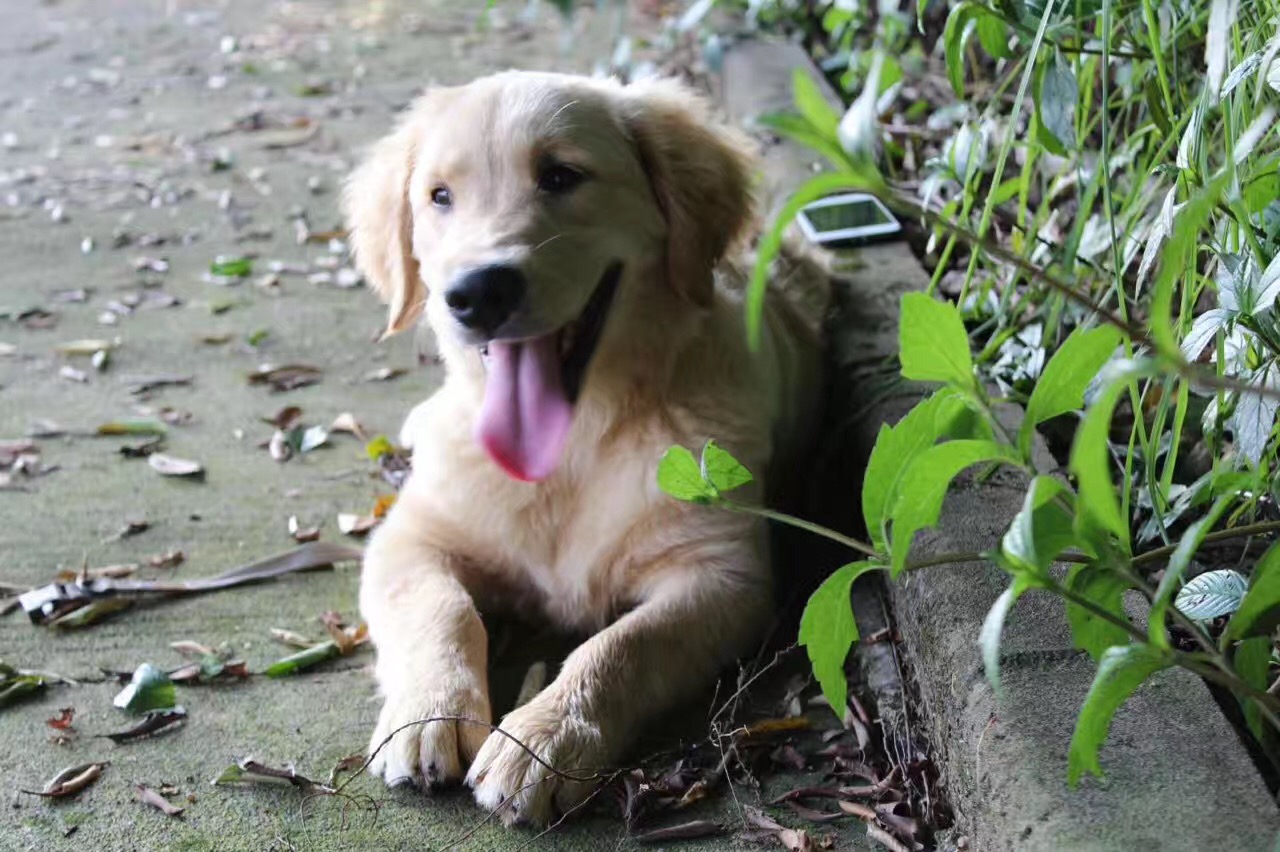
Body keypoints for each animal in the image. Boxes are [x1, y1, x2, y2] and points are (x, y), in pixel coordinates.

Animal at [343, 69, 829, 823]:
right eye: (439, 196)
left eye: (561, 176)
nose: (476, 293)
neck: (574, 444)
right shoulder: (411, 536)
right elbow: (440, 608)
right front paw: (428, 713)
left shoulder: (722, 573)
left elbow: (622, 645)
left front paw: (543, 740)